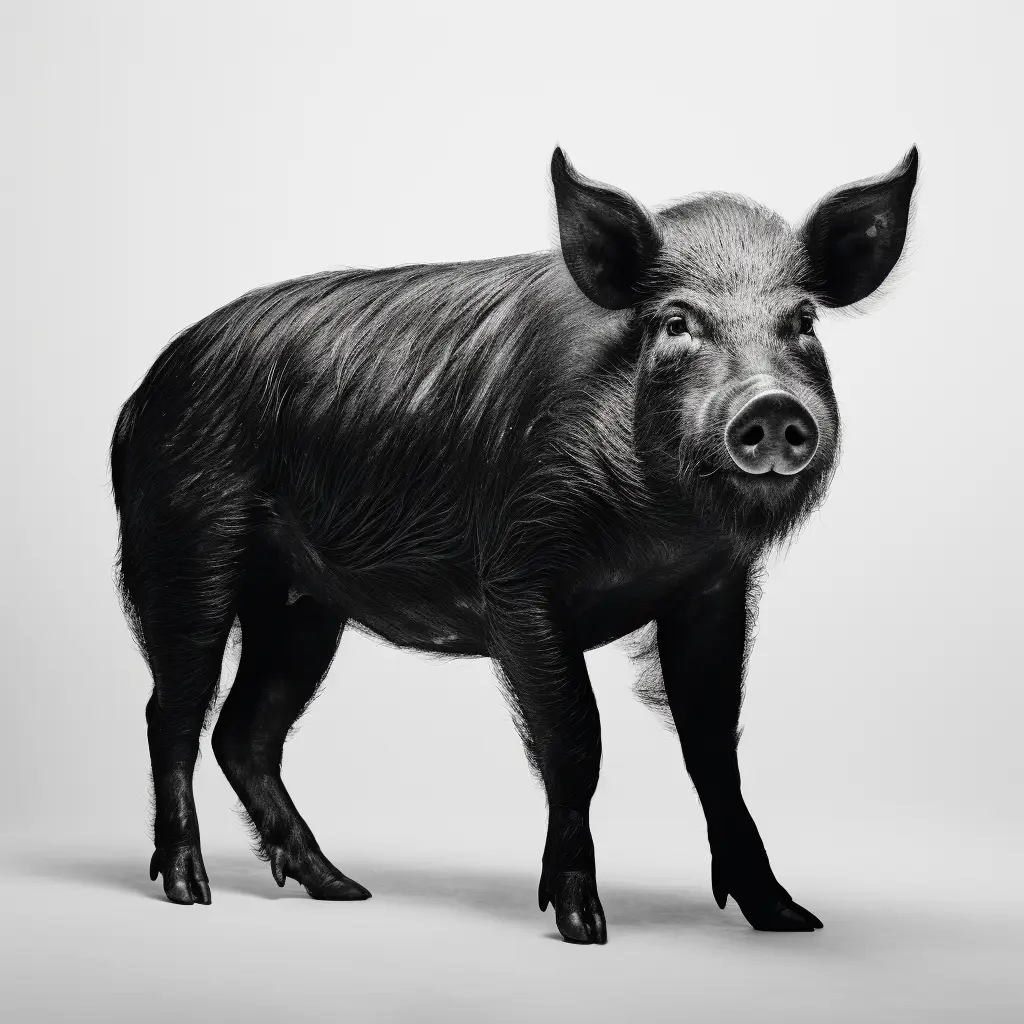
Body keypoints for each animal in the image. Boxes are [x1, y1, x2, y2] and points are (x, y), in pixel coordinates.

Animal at [110, 145, 918, 944]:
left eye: (803, 320)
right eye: (676, 323)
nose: (772, 406)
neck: (660, 529)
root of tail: (140, 396)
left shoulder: (713, 588)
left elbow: (714, 747)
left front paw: (789, 919)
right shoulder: (519, 579)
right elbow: (576, 741)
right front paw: (584, 925)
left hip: (301, 602)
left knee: (244, 733)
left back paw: (342, 888)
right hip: (183, 547)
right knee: (170, 713)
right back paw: (189, 890)